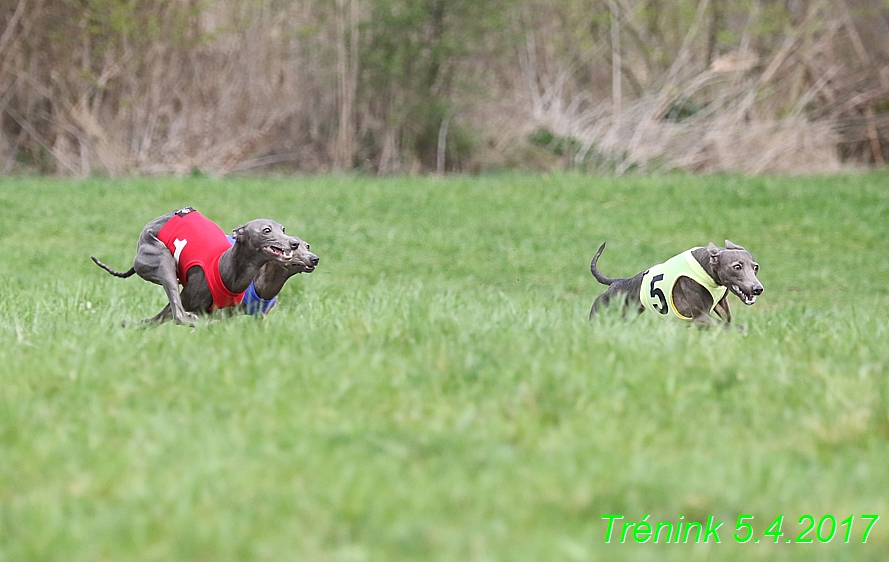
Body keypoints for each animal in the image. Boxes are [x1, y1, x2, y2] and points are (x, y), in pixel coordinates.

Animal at [588, 240, 764, 328]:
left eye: (755, 267)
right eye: (737, 266)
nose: (758, 289)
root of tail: (615, 282)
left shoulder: (720, 304)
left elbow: (728, 320)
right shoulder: (700, 317)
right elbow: (736, 327)